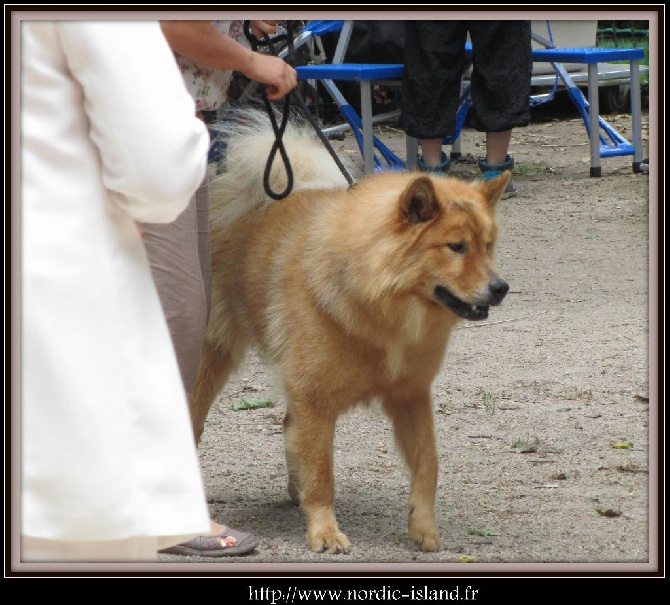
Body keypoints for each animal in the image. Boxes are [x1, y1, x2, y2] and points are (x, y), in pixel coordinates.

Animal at [192, 109, 512, 552]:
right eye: (456, 247)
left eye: (488, 245)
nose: (501, 288)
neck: (379, 305)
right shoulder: (315, 400)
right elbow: (322, 473)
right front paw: (324, 531)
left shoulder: (410, 395)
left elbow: (428, 462)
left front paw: (423, 525)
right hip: (210, 359)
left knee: (287, 427)